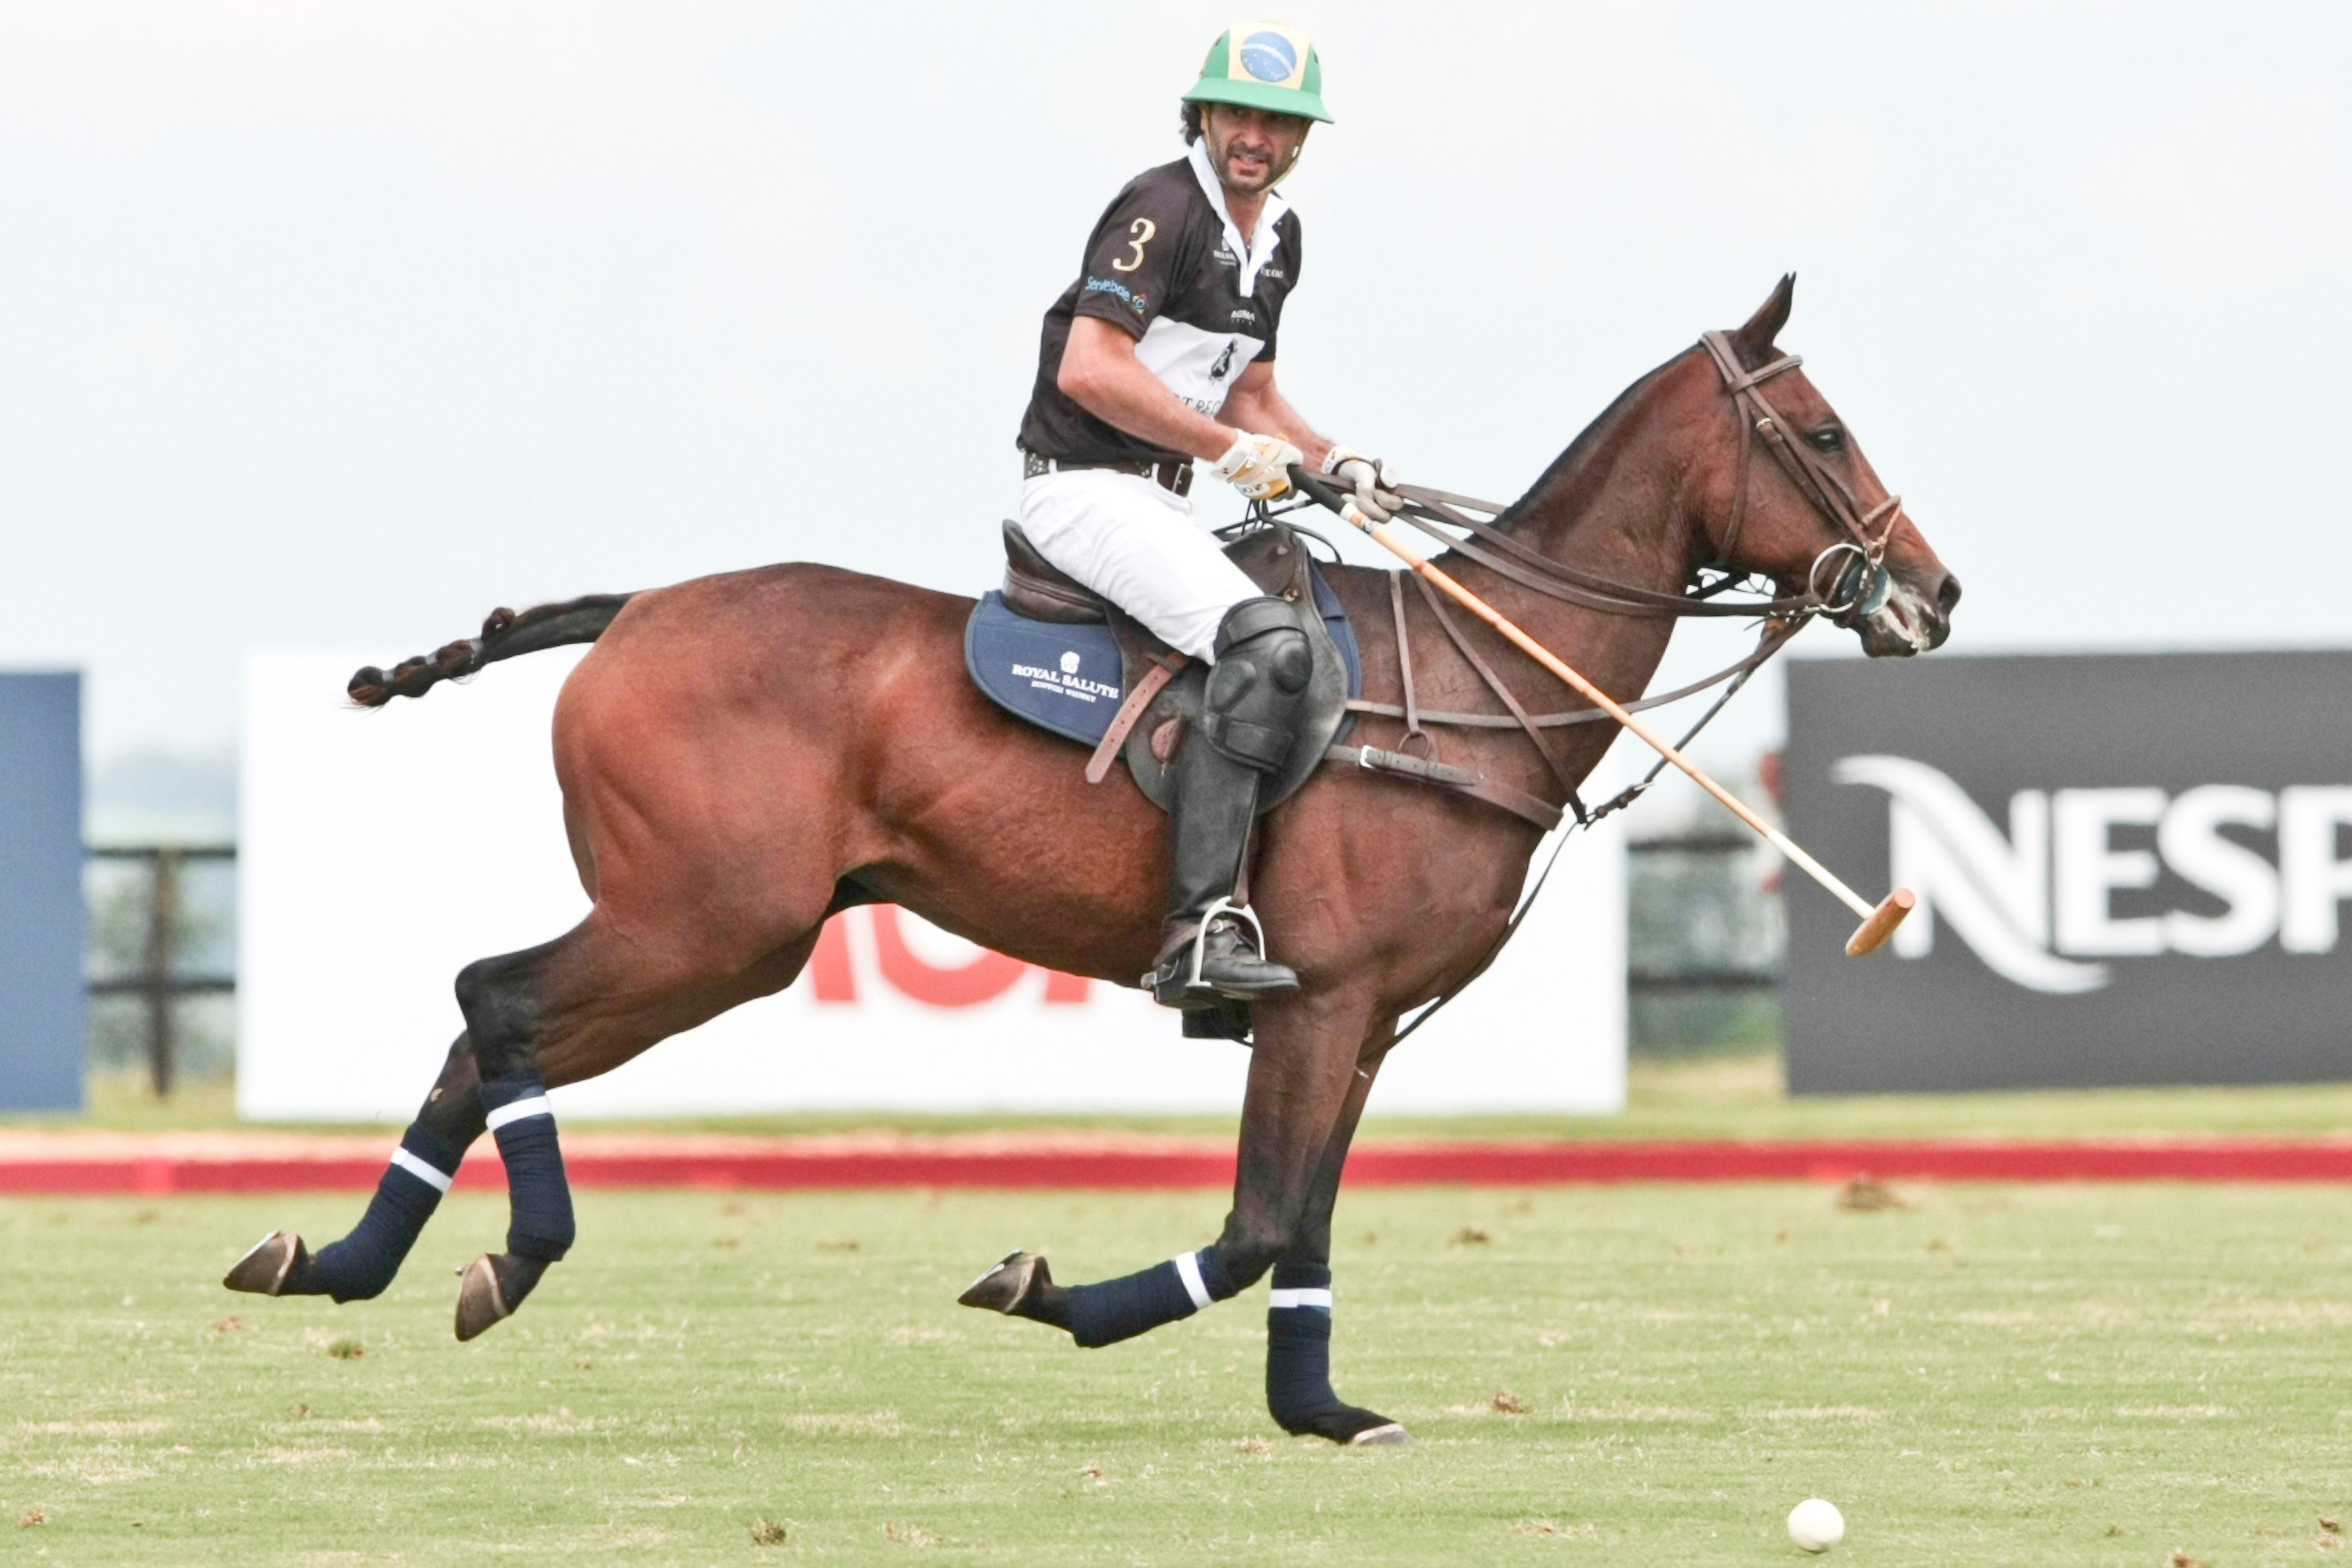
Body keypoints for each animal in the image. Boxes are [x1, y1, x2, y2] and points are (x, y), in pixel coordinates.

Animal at [224, 278, 1947, 1448]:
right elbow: (1253, 1226)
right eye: (1817, 429)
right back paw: (507, 1257)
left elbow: (1303, 1226)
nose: (1933, 594)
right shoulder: (1316, 997)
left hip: (712, 929)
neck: (1474, 674)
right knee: (493, 996)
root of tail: (631, 611)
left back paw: (337, 1262)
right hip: (711, 922)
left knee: (479, 1024)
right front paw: (1042, 1291)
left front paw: (1323, 1412)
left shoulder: (1366, 1020)